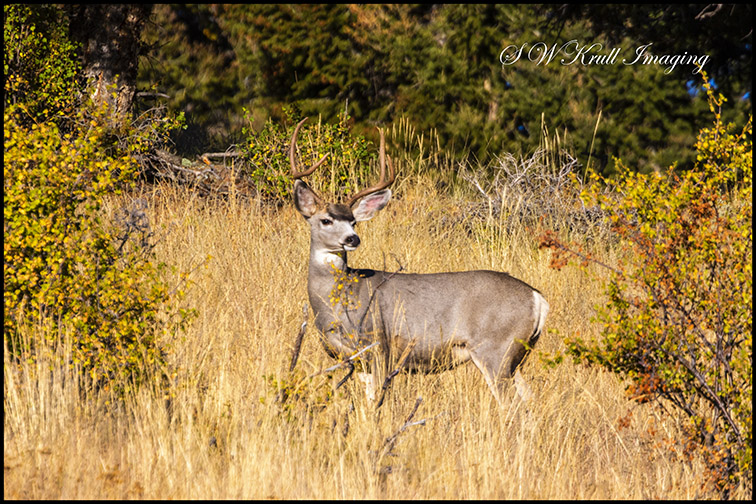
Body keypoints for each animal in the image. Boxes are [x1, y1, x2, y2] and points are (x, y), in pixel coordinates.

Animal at [290, 117, 549, 406]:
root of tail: (538, 298)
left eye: (353, 221)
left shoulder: (378, 345)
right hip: (517, 357)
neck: (340, 298)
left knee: (509, 403)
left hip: (496, 349)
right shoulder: (357, 361)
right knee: (529, 399)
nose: (352, 238)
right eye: (326, 220)